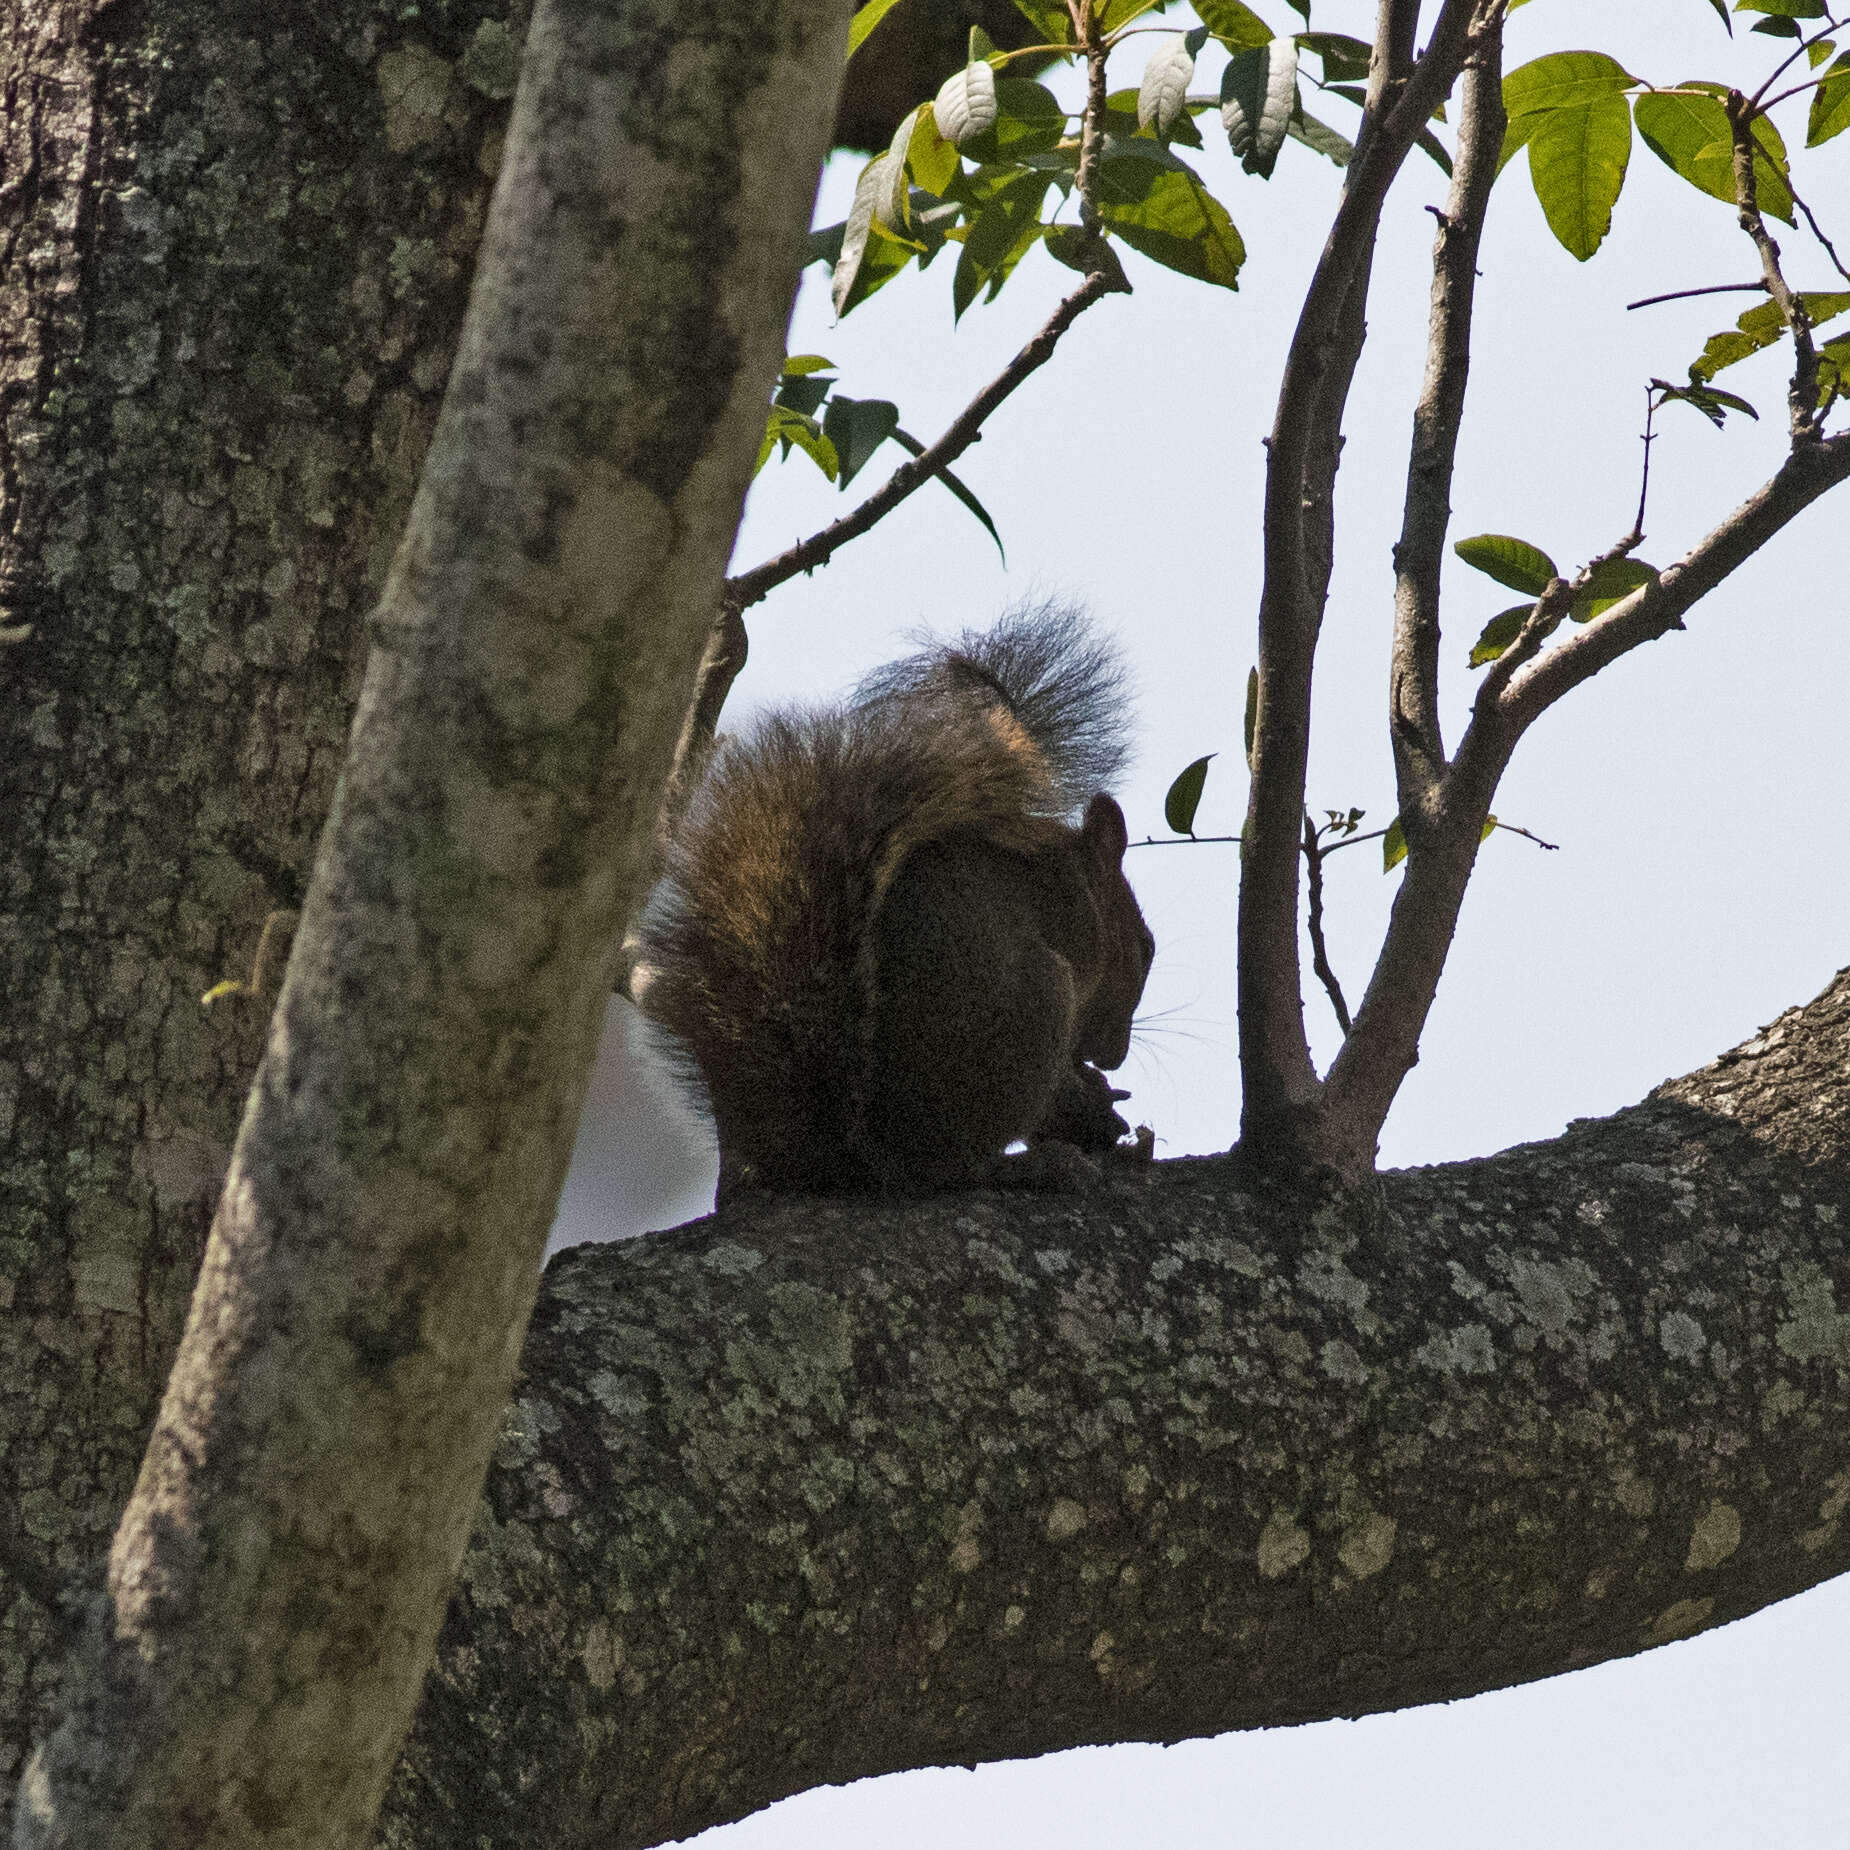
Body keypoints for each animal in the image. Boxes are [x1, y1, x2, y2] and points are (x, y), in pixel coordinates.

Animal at [640, 599, 1154, 1191]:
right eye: (1147, 948)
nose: (1113, 1057)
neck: (1081, 881)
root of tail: (866, 1153)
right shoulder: (1076, 932)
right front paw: (1085, 1096)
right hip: (1032, 1002)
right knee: (955, 1165)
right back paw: (1034, 1164)